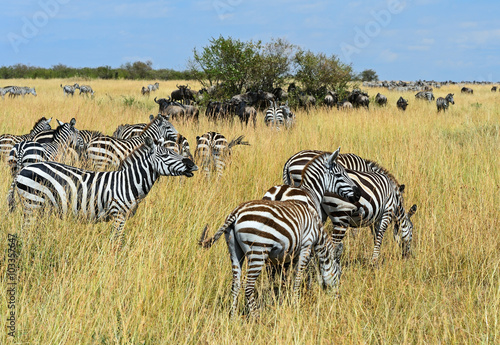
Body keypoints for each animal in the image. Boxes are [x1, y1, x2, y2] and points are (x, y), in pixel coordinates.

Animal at [7, 136, 198, 246]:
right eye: (166, 155)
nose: (193, 165)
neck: (128, 182)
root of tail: (23, 169)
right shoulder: (119, 215)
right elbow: (116, 242)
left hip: (40, 208)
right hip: (32, 203)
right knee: (26, 233)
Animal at [197, 150, 358, 318]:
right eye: (340, 174)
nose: (358, 193)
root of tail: (236, 213)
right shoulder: (306, 246)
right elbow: (300, 275)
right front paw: (295, 303)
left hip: (234, 249)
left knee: (236, 284)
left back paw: (234, 317)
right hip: (257, 251)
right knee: (248, 287)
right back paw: (256, 318)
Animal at [266, 149, 418, 260]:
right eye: (411, 229)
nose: (408, 256)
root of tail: (290, 161)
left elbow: (375, 235)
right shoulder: (384, 211)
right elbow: (378, 235)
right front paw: (374, 261)